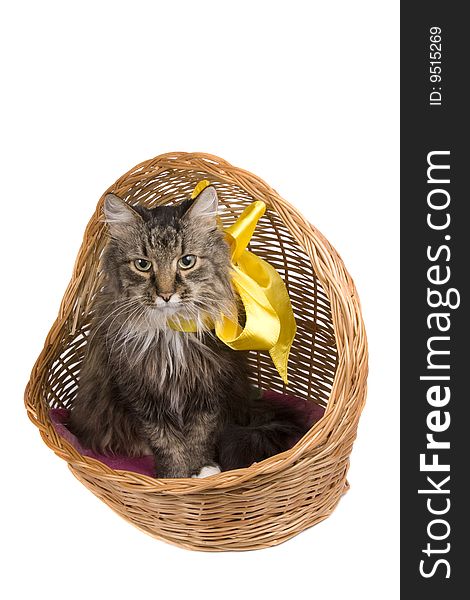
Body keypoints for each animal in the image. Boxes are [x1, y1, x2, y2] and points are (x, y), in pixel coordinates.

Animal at [68, 188, 306, 478]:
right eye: (143, 265)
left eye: (187, 261)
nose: (166, 294)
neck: (173, 333)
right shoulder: (142, 392)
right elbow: (165, 441)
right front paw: (176, 477)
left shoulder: (209, 388)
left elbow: (199, 435)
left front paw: (202, 470)